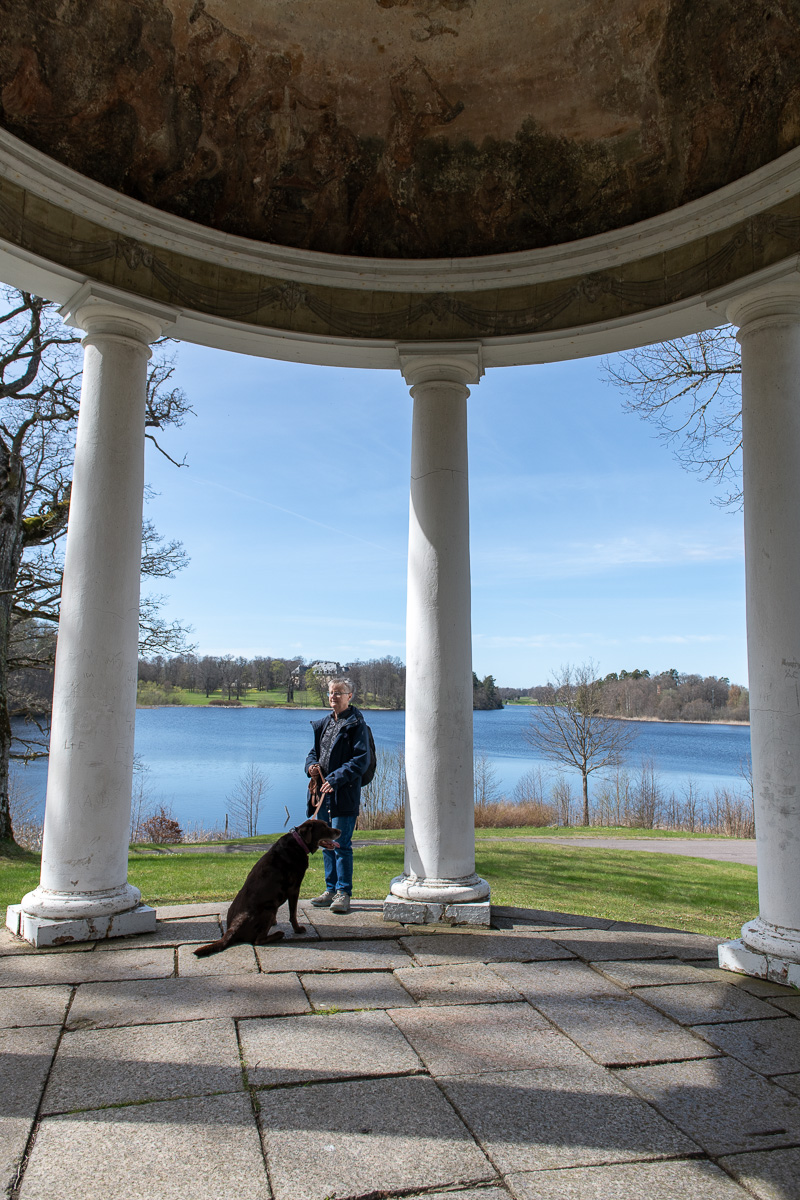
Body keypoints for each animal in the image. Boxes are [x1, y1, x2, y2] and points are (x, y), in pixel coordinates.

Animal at [197, 816, 345, 955]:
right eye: (325, 827)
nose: (340, 831)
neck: (299, 843)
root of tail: (232, 929)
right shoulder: (294, 888)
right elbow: (293, 914)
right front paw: (297, 929)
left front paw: (275, 923)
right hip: (269, 909)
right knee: (258, 940)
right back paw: (278, 934)